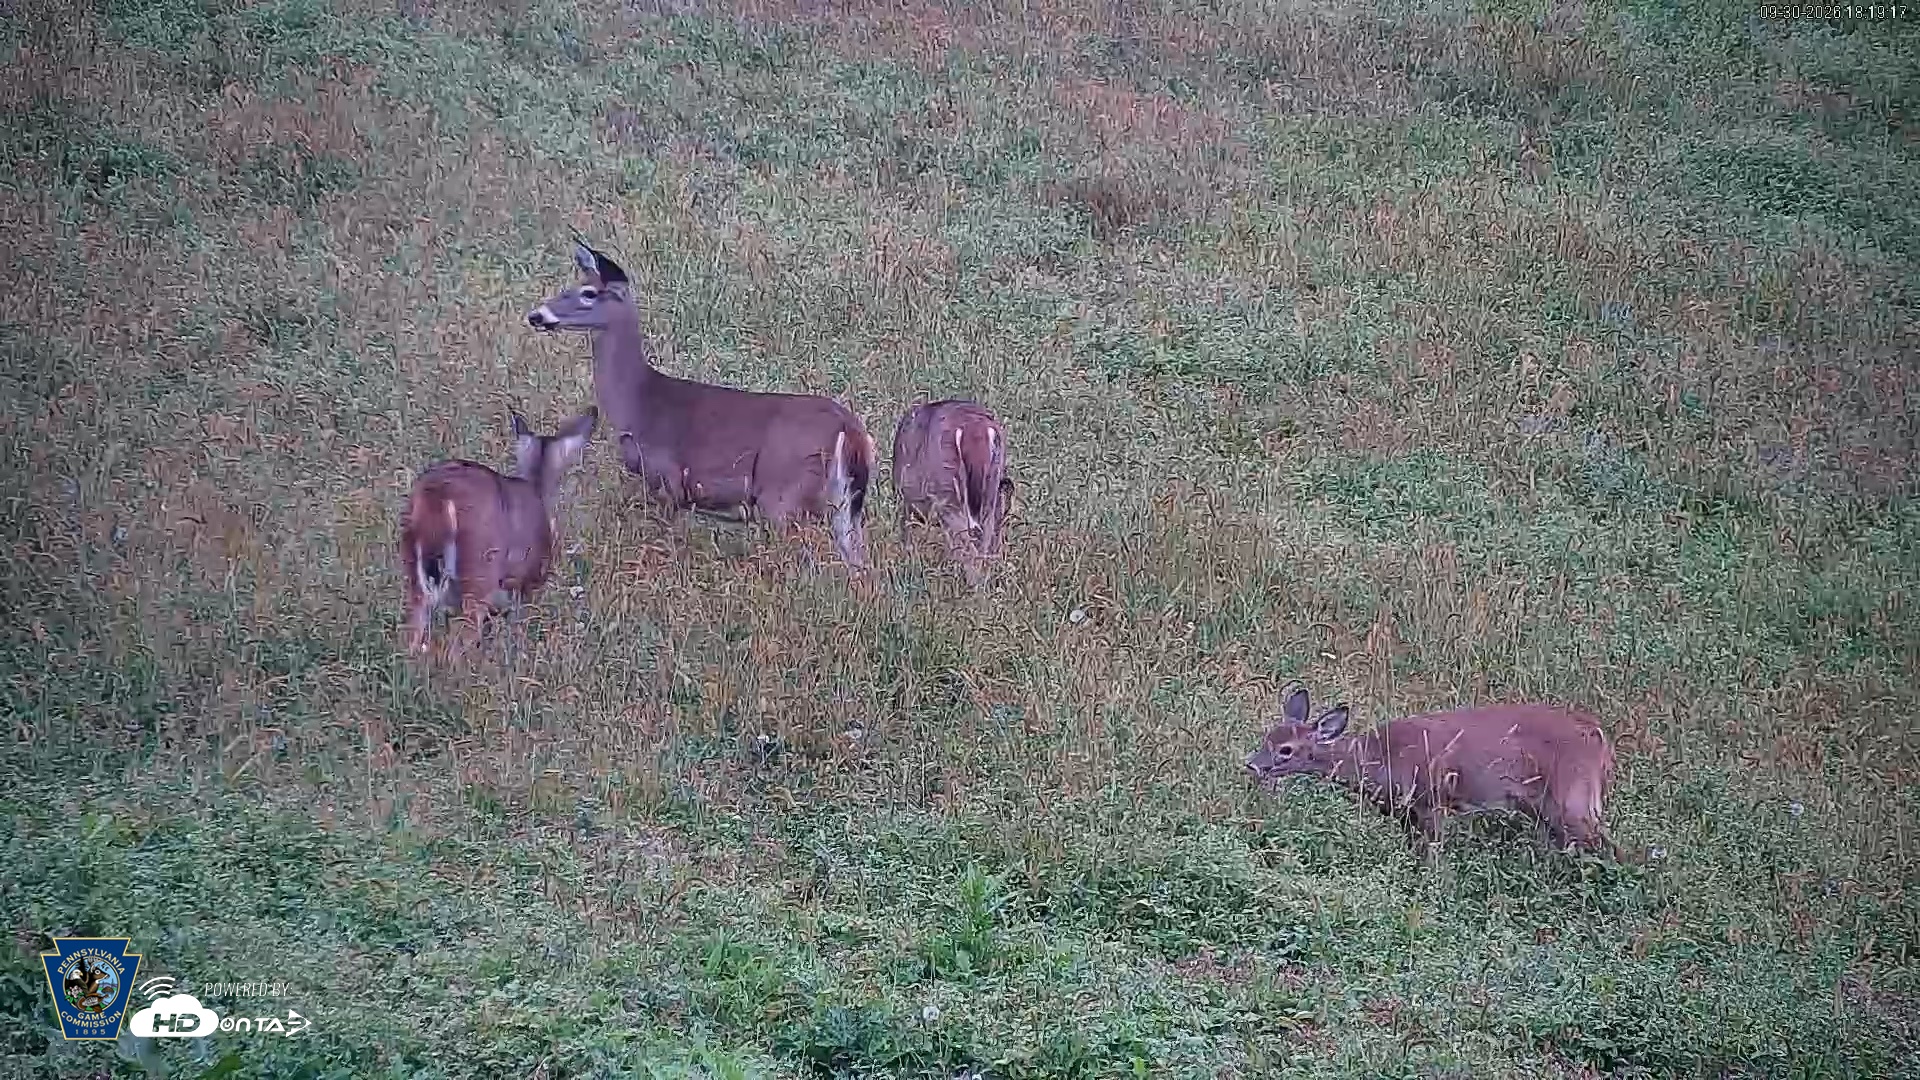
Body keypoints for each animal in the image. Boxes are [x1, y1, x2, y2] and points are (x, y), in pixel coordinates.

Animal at [398, 407, 598, 657]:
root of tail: (437, 494)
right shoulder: (526, 581)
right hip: (479, 571)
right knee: (462, 638)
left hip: (416, 575)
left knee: (414, 633)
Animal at [527, 241, 876, 571]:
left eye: (588, 292)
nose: (536, 315)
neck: (637, 402)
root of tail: (850, 429)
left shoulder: (668, 481)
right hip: (844, 504)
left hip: (784, 494)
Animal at [1246, 683, 1622, 859]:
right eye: (1267, 736)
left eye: (1286, 750)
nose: (1251, 763)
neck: (1377, 759)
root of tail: (1599, 737)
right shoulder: (1403, 813)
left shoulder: (1431, 799)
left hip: (1573, 797)